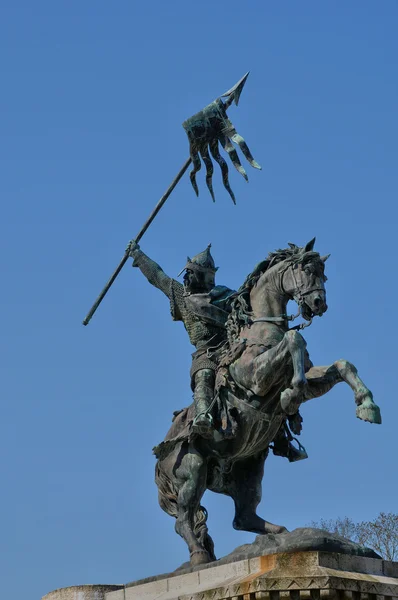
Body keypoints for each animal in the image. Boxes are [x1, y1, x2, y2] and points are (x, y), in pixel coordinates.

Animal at [154, 237, 380, 564]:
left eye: (323, 274)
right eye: (307, 270)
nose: (318, 304)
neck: (262, 327)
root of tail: (159, 461)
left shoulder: (314, 378)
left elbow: (341, 365)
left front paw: (367, 405)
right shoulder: (255, 379)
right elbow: (295, 341)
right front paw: (290, 395)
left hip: (248, 468)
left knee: (243, 517)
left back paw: (279, 534)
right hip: (192, 471)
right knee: (184, 519)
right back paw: (199, 556)